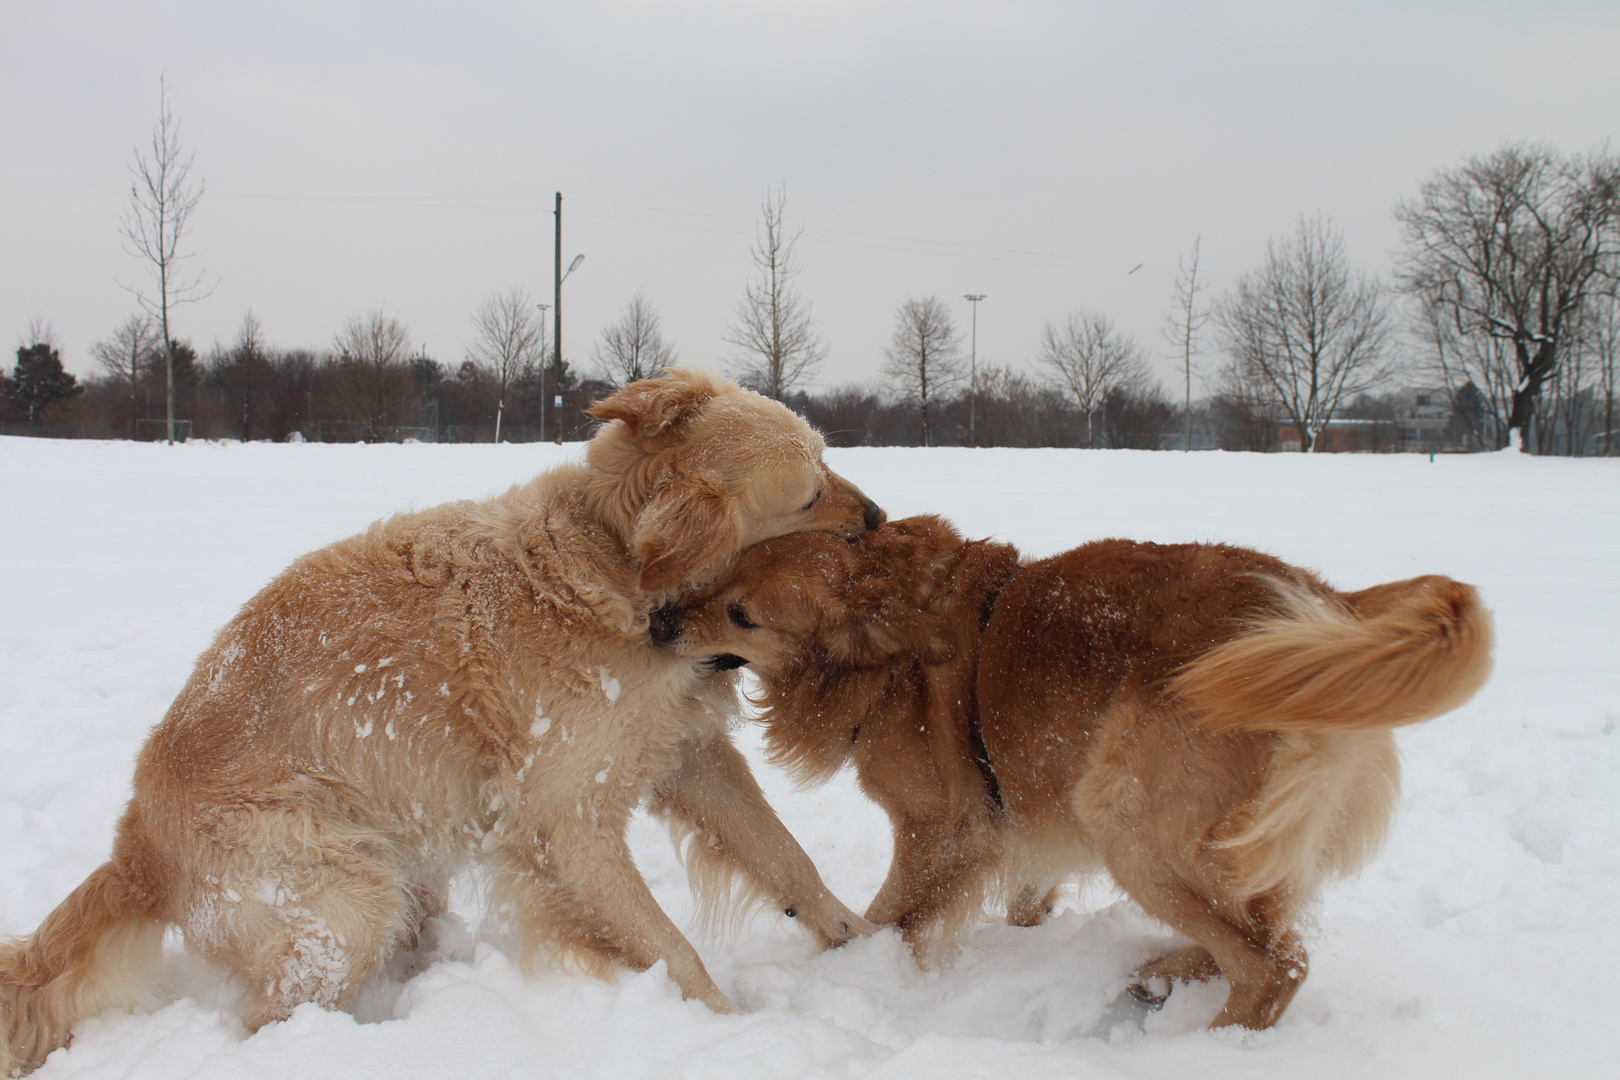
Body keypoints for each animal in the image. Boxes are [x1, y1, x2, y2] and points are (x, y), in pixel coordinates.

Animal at [3, 369, 887, 1075]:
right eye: (810, 493)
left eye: (827, 459)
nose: (880, 516)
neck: (618, 567)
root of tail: (135, 848)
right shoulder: (566, 827)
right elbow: (673, 950)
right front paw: (726, 1035)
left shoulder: (690, 755)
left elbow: (787, 858)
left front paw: (858, 938)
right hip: (343, 898)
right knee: (265, 1020)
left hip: (395, 872)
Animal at [657, 514, 1490, 1029]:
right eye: (721, 571)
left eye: (742, 616)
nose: (658, 621)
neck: (890, 647)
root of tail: (1326, 606)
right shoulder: (1027, 818)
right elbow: (1025, 896)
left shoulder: (944, 829)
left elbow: (891, 919)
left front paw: (853, 976)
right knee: (1260, 934)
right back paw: (1159, 972)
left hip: (1125, 815)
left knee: (1274, 964)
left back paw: (1204, 1045)